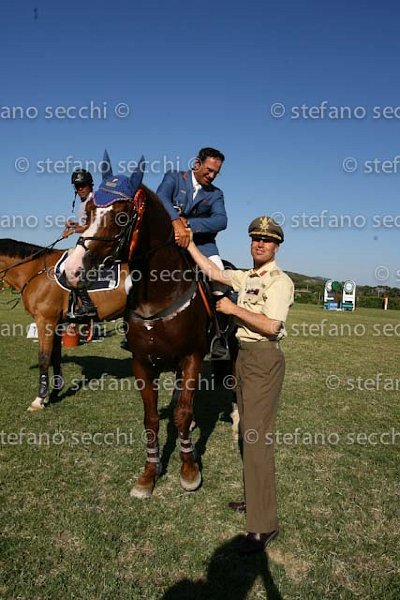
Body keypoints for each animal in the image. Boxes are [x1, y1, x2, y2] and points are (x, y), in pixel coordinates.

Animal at [0, 239, 129, 412]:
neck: (35, 271)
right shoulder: (57, 324)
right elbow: (55, 356)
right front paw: (55, 392)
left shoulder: (45, 321)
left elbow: (44, 357)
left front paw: (39, 399)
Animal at [65, 155, 214, 497]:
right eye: (88, 213)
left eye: (121, 217)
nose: (71, 270)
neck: (157, 295)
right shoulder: (142, 364)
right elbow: (150, 419)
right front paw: (148, 474)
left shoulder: (192, 358)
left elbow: (183, 414)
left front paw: (189, 469)